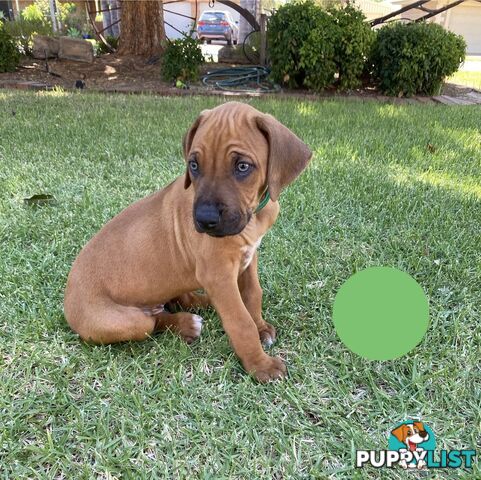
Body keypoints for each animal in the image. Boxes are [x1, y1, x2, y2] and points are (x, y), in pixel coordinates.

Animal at [63, 101, 312, 382]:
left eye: (242, 167)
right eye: (194, 165)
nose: (205, 220)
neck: (253, 216)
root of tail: (67, 296)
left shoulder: (248, 258)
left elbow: (252, 294)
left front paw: (260, 327)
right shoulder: (217, 274)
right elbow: (240, 321)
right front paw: (260, 365)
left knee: (179, 300)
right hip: (122, 321)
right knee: (153, 321)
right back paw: (186, 324)